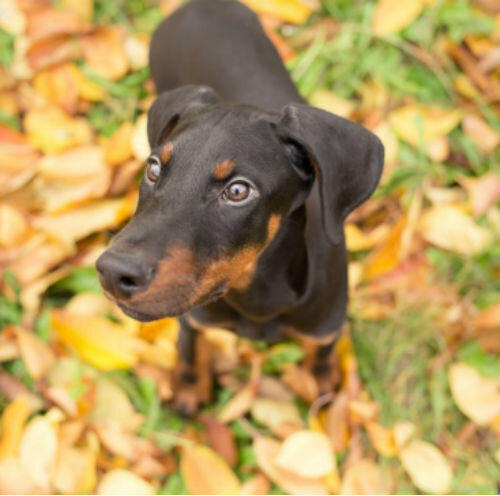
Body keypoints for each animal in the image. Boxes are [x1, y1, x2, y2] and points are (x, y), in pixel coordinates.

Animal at [95, 0, 384, 416]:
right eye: (153, 168)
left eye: (237, 191)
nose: (113, 272)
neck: (256, 290)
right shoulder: (194, 318)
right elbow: (190, 349)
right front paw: (189, 388)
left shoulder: (326, 323)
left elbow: (321, 353)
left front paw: (322, 382)